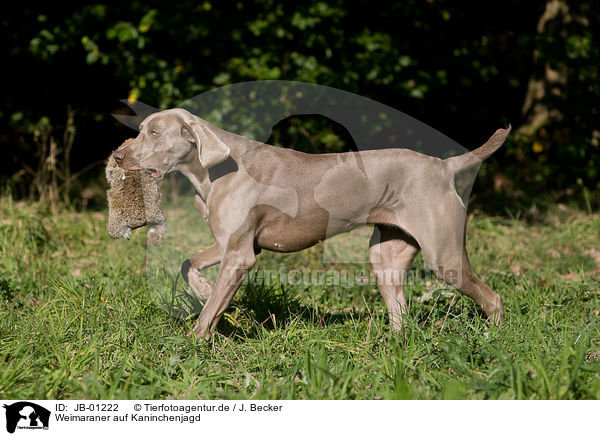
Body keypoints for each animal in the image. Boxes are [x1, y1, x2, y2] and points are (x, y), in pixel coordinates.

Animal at [113, 107, 510, 338]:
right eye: (142, 129)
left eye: (154, 133)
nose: (116, 156)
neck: (211, 169)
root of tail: (444, 166)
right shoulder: (232, 244)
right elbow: (188, 265)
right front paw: (204, 290)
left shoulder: (240, 255)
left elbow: (208, 314)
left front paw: (195, 346)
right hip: (386, 257)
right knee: (400, 311)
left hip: (445, 257)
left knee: (492, 297)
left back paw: (494, 339)